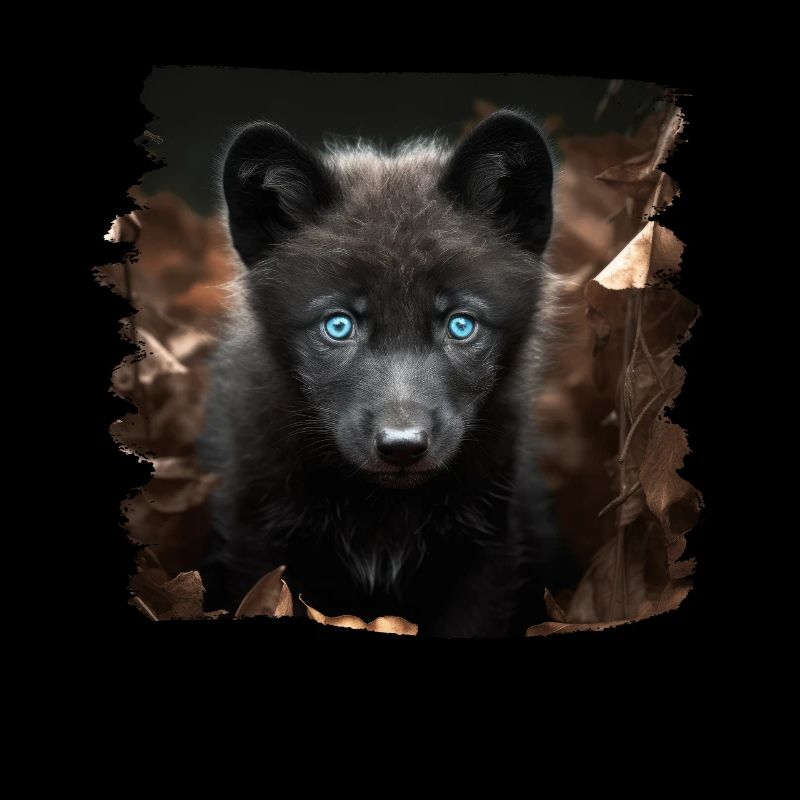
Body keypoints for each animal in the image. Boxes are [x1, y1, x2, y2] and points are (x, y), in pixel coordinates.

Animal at [198, 109, 575, 637]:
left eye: (461, 325)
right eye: (338, 325)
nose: (402, 446)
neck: (383, 515)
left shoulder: (487, 552)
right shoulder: (256, 541)